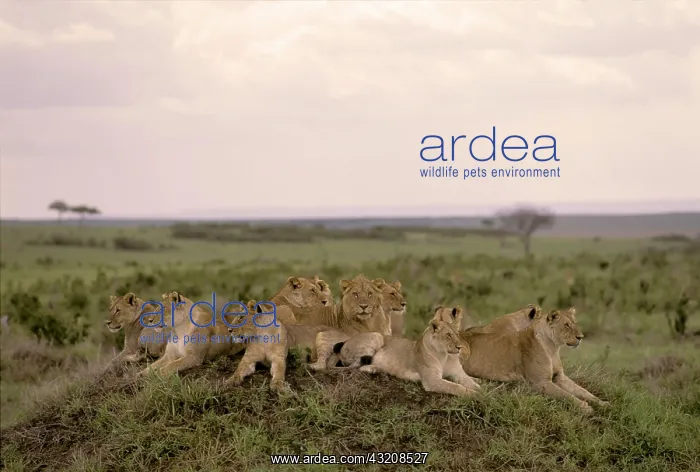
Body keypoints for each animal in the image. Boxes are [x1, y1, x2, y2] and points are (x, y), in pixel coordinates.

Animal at [459, 307, 608, 413]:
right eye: (566, 325)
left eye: (575, 324)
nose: (580, 337)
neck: (553, 348)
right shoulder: (541, 383)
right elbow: (567, 395)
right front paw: (585, 407)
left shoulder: (560, 377)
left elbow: (584, 391)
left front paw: (603, 403)